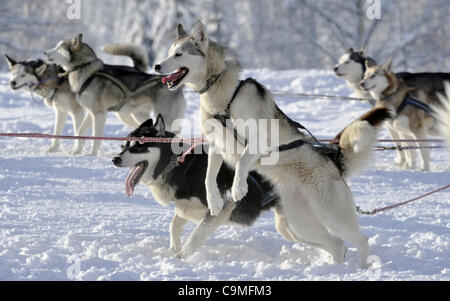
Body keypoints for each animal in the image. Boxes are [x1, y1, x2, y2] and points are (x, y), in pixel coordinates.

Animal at [44, 35, 185, 156]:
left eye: (58, 48)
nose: (45, 52)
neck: (88, 73)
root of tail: (174, 85)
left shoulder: (99, 114)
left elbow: (95, 137)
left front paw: (91, 154)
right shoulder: (90, 113)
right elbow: (80, 131)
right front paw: (76, 151)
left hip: (166, 120)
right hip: (137, 117)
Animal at [111, 115, 298, 255]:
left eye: (138, 147)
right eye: (122, 146)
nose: (115, 159)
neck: (180, 165)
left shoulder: (222, 207)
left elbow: (196, 236)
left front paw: (182, 257)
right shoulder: (185, 208)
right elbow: (174, 226)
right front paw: (173, 250)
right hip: (285, 225)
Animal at [156, 21, 394, 266]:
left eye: (179, 54)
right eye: (169, 52)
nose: (156, 66)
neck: (223, 97)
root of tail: (334, 162)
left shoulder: (257, 140)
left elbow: (242, 162)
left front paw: (238, 187)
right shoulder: (216, 145)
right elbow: (209, 177)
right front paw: (214, 200)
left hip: (332, 215)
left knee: (361, 240)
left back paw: (363, 267)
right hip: (300, 223)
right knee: (337, 244)